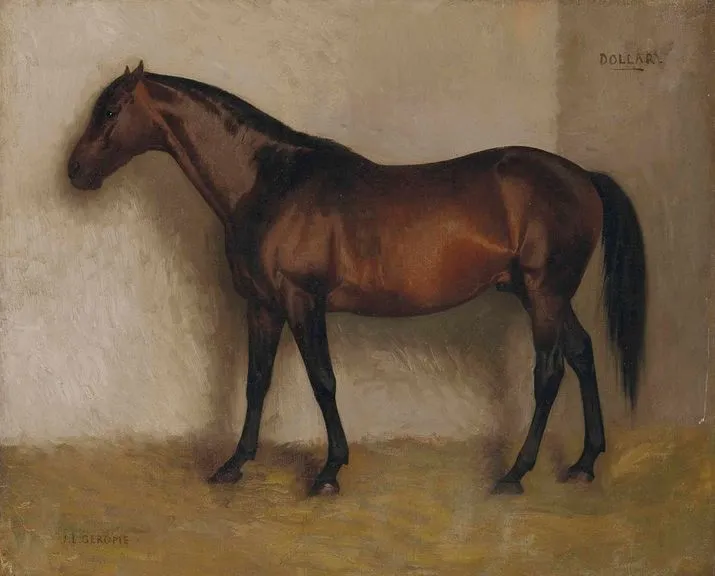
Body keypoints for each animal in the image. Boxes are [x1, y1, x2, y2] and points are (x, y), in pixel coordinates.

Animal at [67, 61, 646, 496]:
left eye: (111, 110)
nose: (74, 171)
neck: (270, 183)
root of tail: (582, 177)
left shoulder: (302, 301)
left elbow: (323, 380)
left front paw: (328, 471)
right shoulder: (262, 305)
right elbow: (257, 381)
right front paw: (234, 465)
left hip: (543, 293)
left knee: (549, 372)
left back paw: (514, 474)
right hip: (544, 295)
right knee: (583, 354)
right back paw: (584, 463)